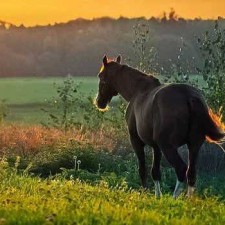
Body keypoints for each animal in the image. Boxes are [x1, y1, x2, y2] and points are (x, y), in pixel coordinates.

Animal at [95, 55, 225, 198]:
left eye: (101, 76)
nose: (99, 102)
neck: (138, 91)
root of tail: (189, 96)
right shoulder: (156, 146)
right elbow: (155, 172)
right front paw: (158, 196)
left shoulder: (136, 141)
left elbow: (143, 169)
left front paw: (145, 193)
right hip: (194, 146)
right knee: (191, 173)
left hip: (168, 146)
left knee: (181, 169)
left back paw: (174, 198)